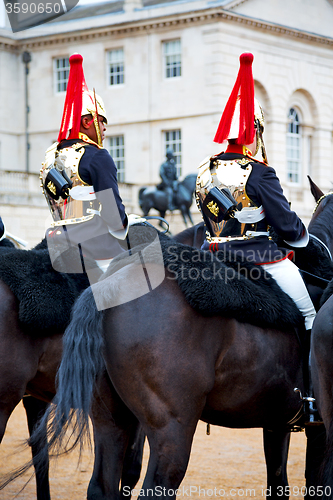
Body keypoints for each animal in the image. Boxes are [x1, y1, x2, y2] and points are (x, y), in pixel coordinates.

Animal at [24, 182, 333, 498]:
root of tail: (111, 284)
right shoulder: (317, 428)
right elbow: (315, 481)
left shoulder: (277, 422)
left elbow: (278, 482)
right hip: (172, 431)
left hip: (110, 420)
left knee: (101, 485)